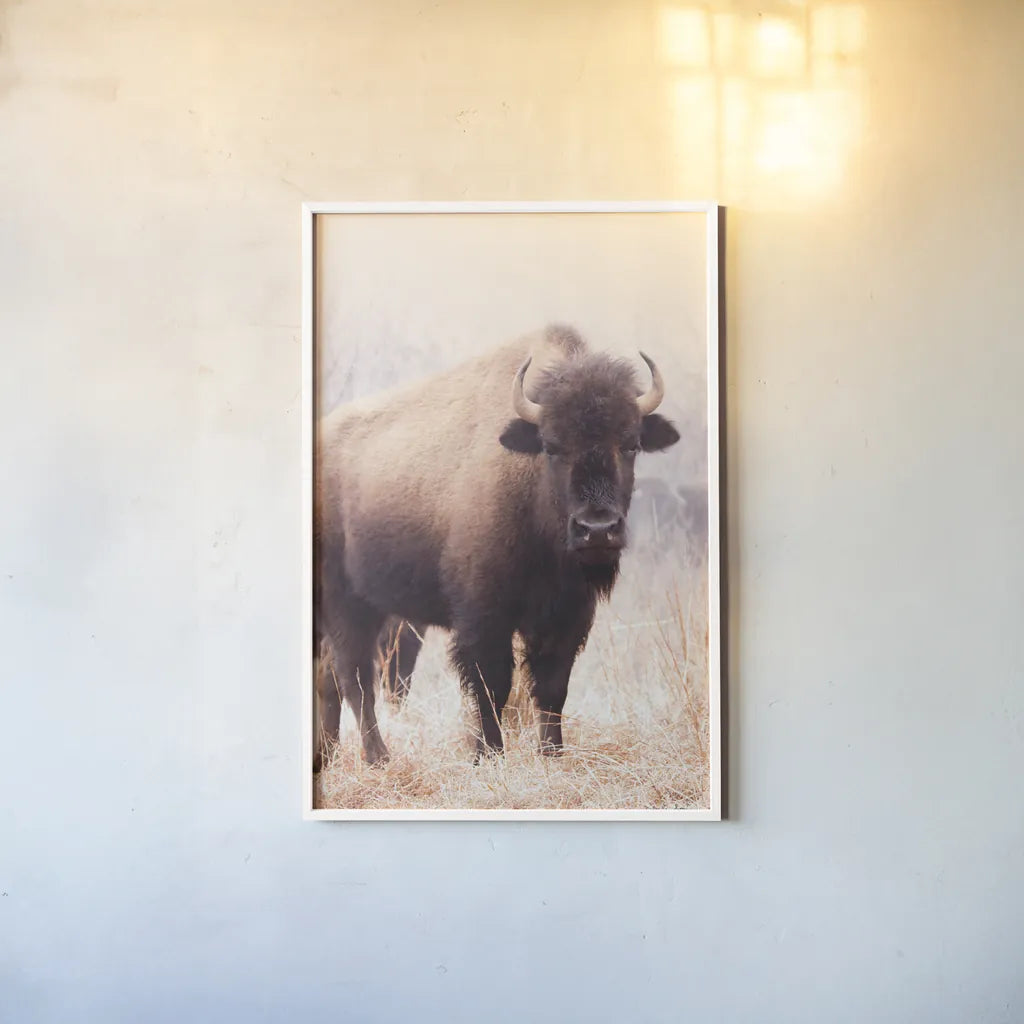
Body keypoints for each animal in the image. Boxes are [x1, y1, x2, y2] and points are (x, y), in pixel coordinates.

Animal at [313, 325, 680, 767]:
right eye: (552, 446)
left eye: (630, 444)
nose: (597, 528)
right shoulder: (484, 616)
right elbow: (492, 685)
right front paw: (488, 754)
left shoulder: (567, 616)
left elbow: (552, 688)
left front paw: (552, 755)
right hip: (348, 606)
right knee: (355, 679)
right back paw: (377, 757)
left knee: (332, 678)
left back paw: (329, 755)